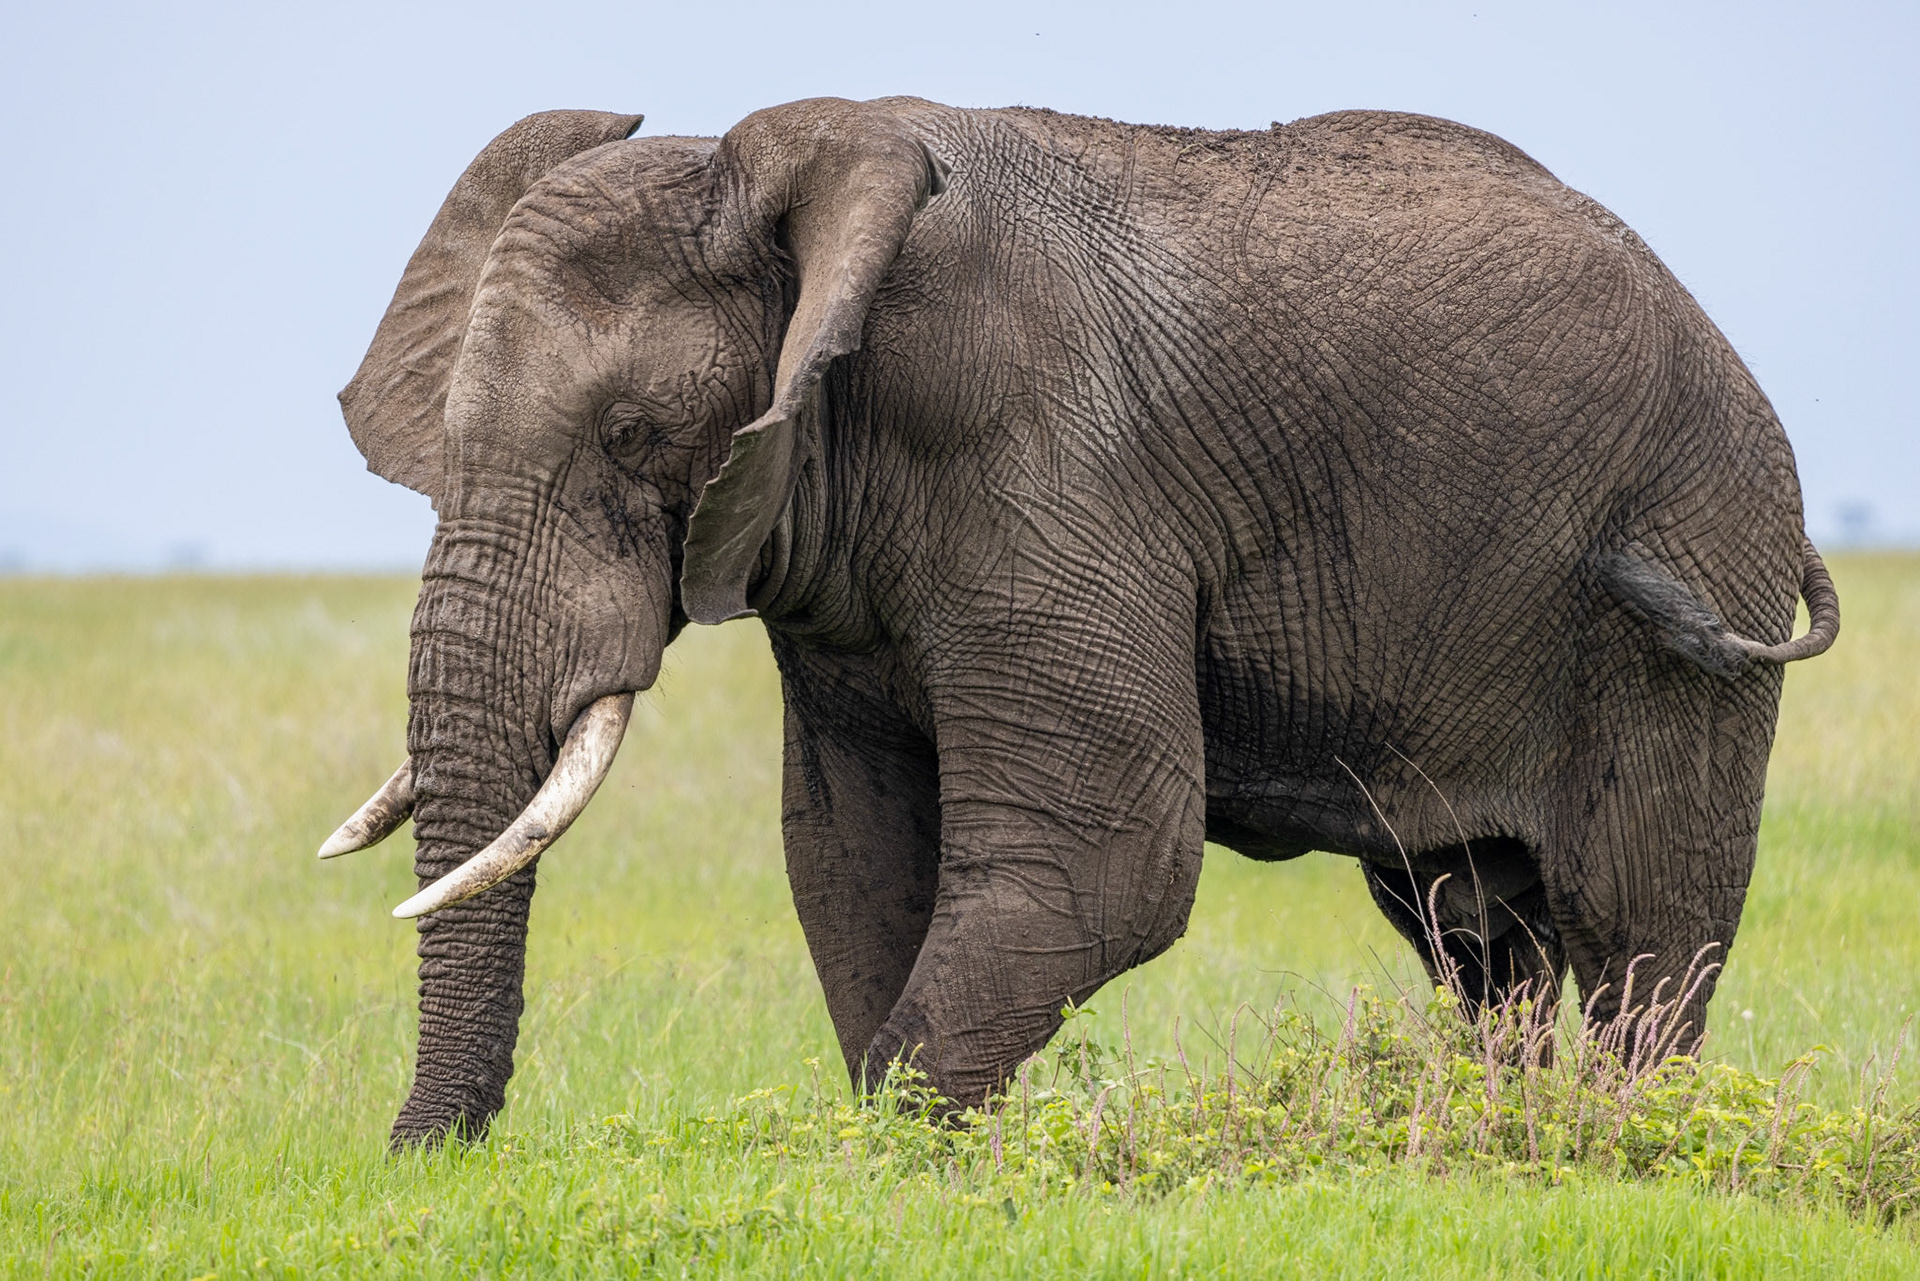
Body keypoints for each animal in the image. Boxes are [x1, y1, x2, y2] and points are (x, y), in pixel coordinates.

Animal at [320, 97, 1839, 1148]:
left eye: (635, 437)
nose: (422, 1161)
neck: (801, 185)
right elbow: (852, 856)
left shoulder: (1049, 468)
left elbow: (1102, 856)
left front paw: (887, 1161)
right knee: (1474, 931)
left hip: (1695, 555)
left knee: (1640, 925)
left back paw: (1628, 1138)